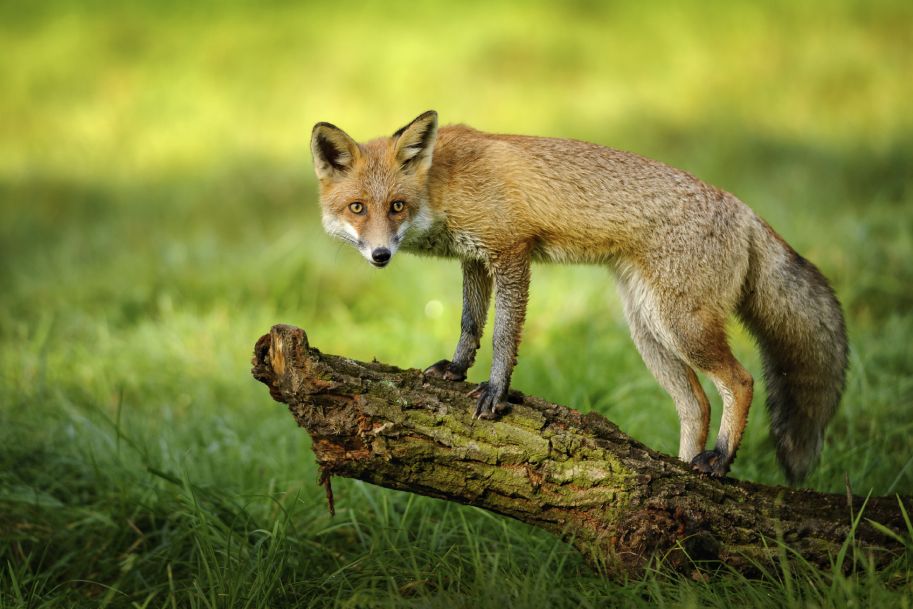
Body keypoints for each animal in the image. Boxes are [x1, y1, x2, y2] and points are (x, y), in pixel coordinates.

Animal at [308, 108, 848, 480]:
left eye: (396, 207)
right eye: (358, 208)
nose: (380, 255)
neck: (445, 182)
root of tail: (745, 210)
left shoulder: (511, 253)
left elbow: (503, 337)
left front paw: (494, 393)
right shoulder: (475, 260)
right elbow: (469, 324)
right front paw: (456, 370)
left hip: (681, 325)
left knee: (740, 381)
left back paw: (718, 459)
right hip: (648, 329)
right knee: (696, 404)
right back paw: (679, 478)